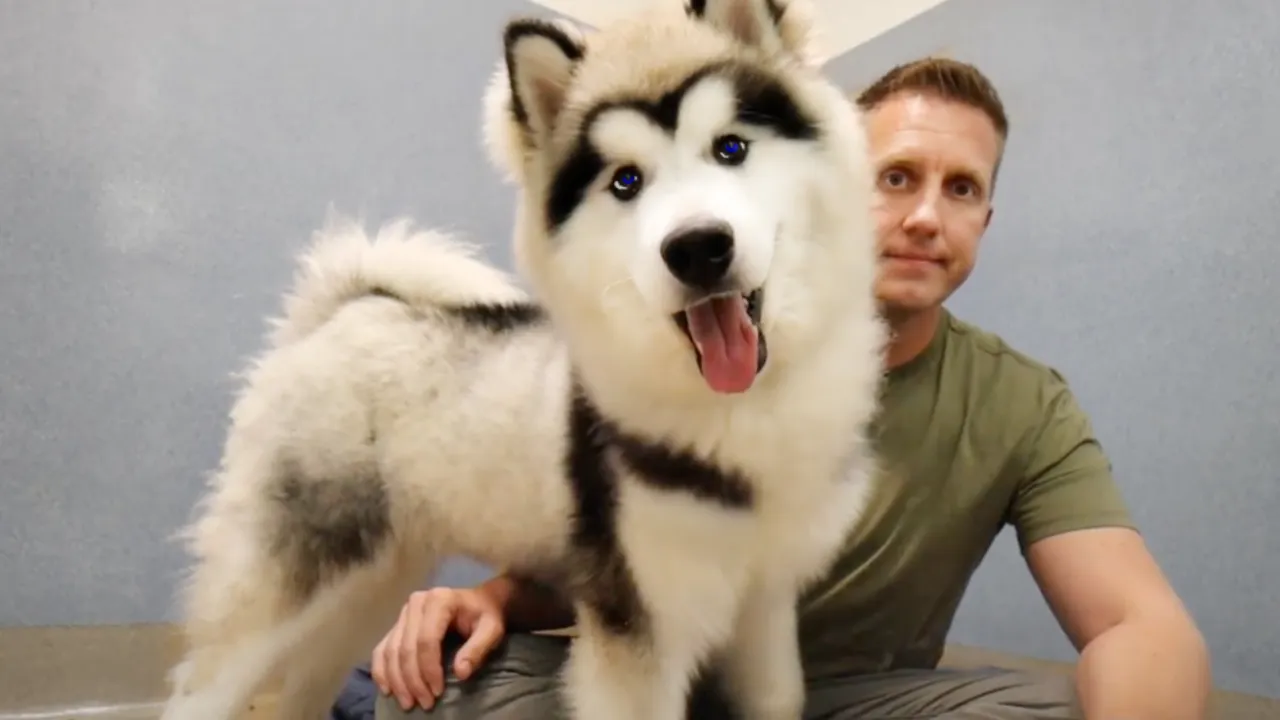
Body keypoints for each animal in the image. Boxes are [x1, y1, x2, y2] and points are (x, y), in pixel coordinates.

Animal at [159, 1, 885, 719]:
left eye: (731, 148)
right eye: (626, 182)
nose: (698, 247)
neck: (742, 408)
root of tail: (350, 307)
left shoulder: (765, 607)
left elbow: (778, 693)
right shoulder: (637, 626)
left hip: (367, 587)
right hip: (286, 577)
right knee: (203, 689)